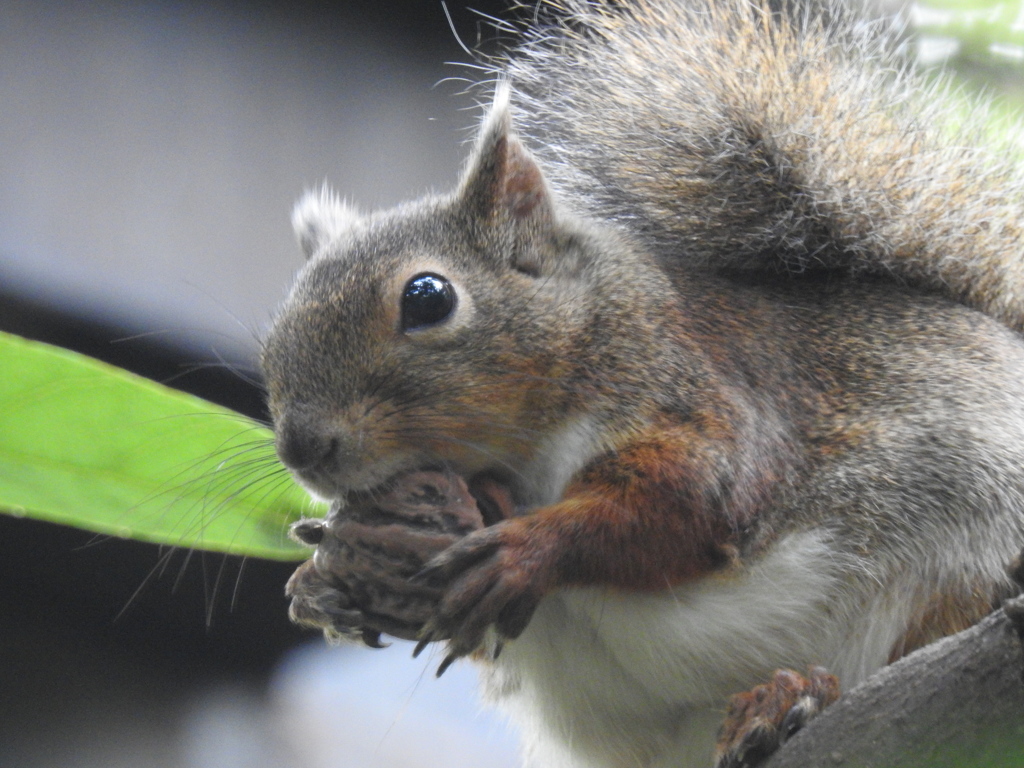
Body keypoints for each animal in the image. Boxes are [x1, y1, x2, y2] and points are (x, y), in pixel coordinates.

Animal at [258, 1, 1024, 768]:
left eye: (427, 298)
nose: (303, 450)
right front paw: (322, 585)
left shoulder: (703, 397)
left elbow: (686, 501)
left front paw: (524, 549)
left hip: (969, 537)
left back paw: (792, 698)